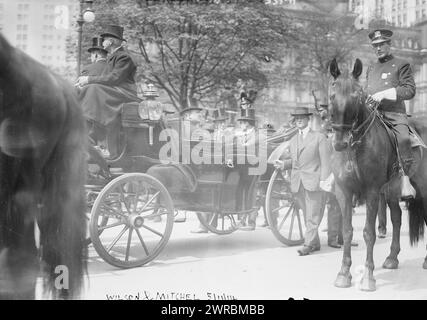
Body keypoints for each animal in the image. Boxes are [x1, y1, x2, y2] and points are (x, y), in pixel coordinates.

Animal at [330, 58, 426, 292]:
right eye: (332, 95)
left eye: (357, 95)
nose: (340, 142)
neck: (355, 146)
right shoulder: (344, 191)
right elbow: (347, 231)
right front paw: (343, 273)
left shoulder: (372, 192)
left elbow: (368, 233)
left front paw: (368, 277)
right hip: (392, 190)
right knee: (397, 218)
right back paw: (392, 258)